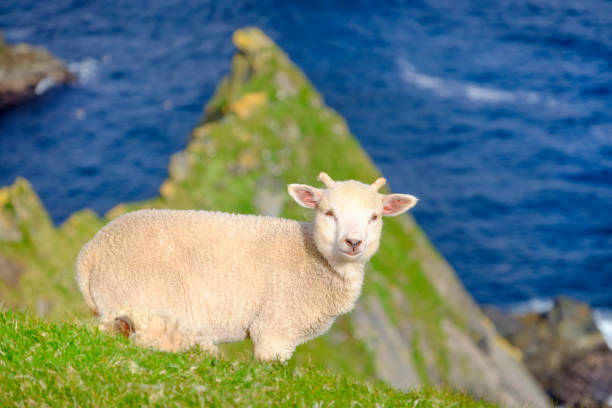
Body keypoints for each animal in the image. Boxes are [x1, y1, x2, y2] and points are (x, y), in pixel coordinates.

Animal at [76, 171, 418, 360]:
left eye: (375, 217)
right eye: (329, 213)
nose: (353, 242)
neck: (313, 261)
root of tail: (89, 254)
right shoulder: (275, 327)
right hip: (148, 295)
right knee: (150, 337)